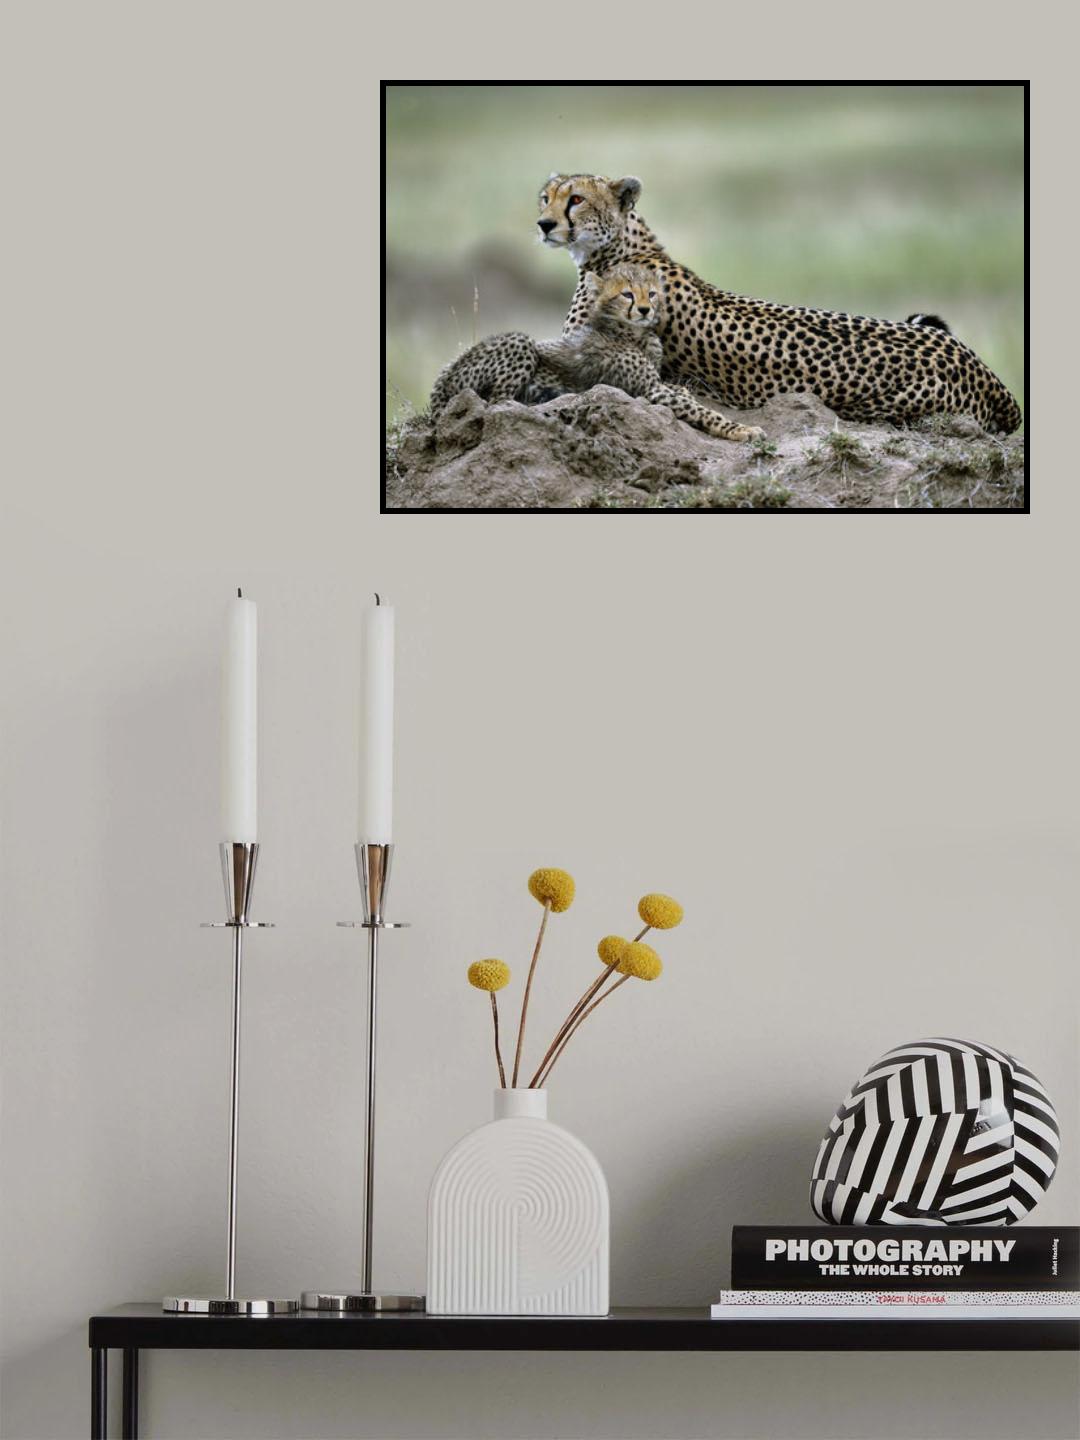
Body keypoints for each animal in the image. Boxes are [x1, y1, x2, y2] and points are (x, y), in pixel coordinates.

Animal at [428, 263, 763, 441]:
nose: (645, 309)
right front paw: (742, 429)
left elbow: (681, 389)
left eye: (651, 293)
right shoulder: (651, 390)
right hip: (519, 344)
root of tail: (440, 383)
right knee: (498, 401)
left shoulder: (655, 381)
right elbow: (703, 411)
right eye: (627, 294)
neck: (631, 331)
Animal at [537, 174, 1022, 434]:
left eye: (576, 199)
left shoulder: (576, 353)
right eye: (546, 197)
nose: (543, 224)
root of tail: (980, 368)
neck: (621, 245)